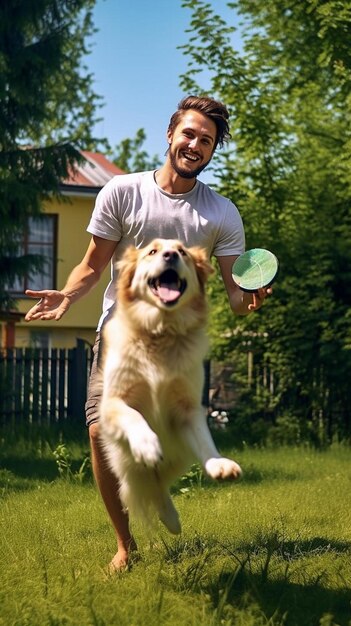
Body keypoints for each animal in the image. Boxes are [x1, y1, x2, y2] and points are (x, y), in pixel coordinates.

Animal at [99, 238, 242, 532]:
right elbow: (134, 415)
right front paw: (147, 445)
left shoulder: (188, 409)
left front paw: (219, 464)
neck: (161, 331)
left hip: (178, 458)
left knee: (159, 485)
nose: (170, 255)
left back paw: (171, 518)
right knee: (140, 483)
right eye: (151, 251)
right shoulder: (112, 403)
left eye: (183, 252)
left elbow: (204, 439)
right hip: (123, 463)